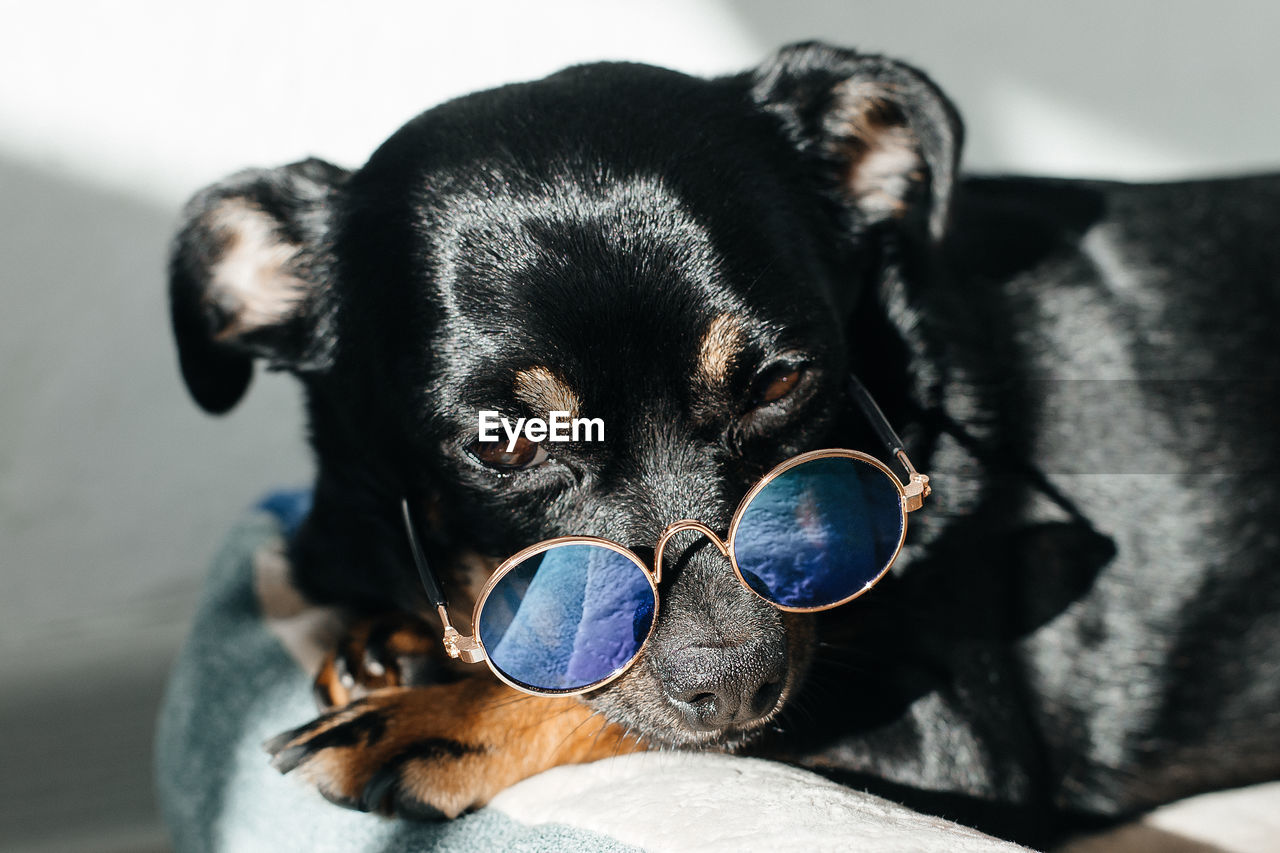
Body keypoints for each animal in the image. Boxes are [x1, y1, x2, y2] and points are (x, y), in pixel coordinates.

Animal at [170, 41, 1280, 845]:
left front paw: (439, 715)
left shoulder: (945, 741)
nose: (737, 679)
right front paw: (404, 652)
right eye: (508, 445)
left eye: (783, 383)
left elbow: (636, 710)